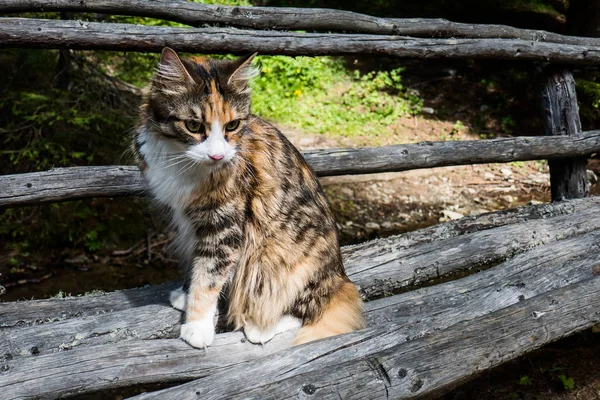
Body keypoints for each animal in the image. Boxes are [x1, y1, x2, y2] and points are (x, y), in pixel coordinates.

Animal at [134, 46, 364, 346]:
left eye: (232, 125)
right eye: (193, 126)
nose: (217, 155)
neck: (182, 161)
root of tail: (341, 278)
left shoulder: (225, 224)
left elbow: (209, 277)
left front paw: (197, 326)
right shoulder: (191, 222)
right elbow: (198, 268)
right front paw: (186, 297)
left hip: (280, 258)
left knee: (305, 308)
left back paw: (259, 328)